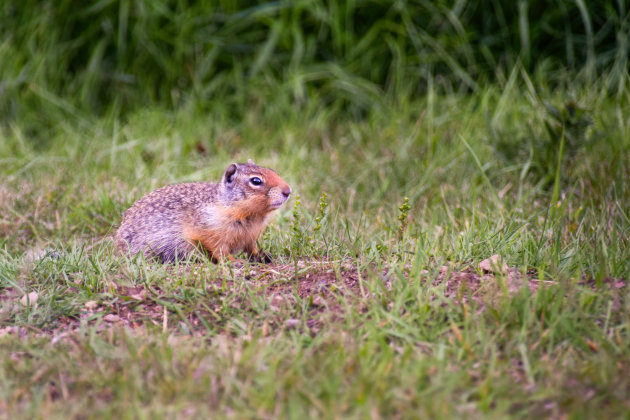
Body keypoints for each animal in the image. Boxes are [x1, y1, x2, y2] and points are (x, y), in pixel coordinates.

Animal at [115, 160, 292, 262]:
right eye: (256, 181)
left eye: (273, 171)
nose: (288, 191)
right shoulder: (210, 230)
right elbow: (219, 250)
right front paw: (235, 261)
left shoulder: (251, 236)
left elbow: (251, 248)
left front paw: (262, 256)